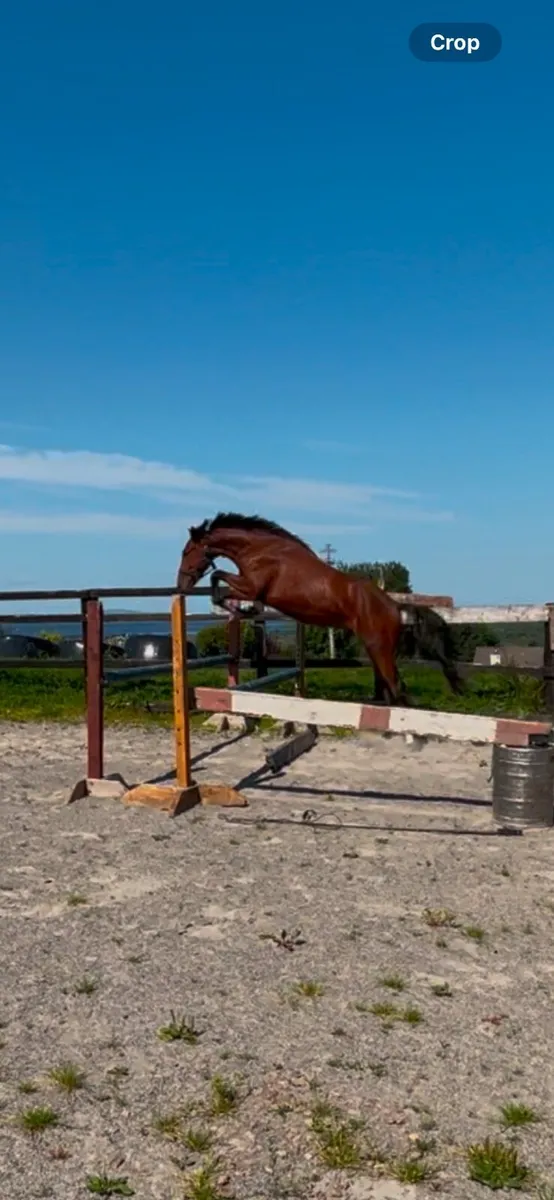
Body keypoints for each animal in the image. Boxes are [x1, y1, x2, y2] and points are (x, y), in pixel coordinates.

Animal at [176, 512, 463, 706]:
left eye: (187, 551)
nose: (181, 584)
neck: (260, 551)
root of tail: (394, 605)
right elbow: (219, 580)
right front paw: (241, 610)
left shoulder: (252, 587)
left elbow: (218, 579)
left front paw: (239, 609)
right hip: (377, 648)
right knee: (392, 689)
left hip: (378, 647)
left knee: (396, 687)